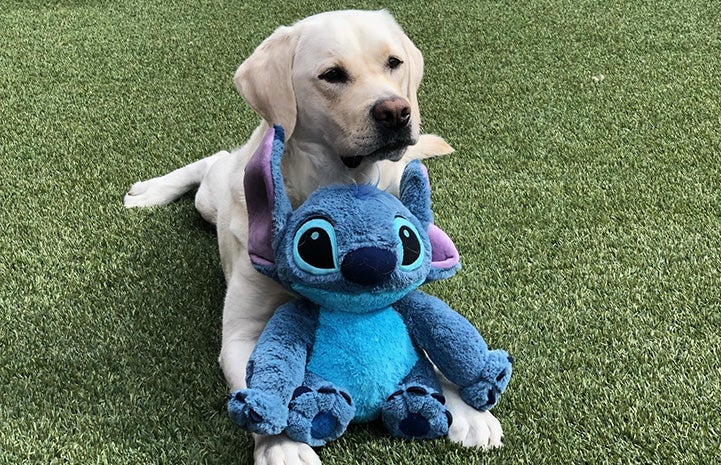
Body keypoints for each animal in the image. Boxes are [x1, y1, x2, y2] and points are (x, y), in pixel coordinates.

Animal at [124, 8, 504, 464]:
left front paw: (468, 408)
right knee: (213, 160)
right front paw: (282, 445)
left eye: (393, 63)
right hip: (209, 197)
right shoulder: (242, 332)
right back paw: (152, 190)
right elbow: (260, 380)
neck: (343, 184)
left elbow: (432, 341)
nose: (397, 112)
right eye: (332, 75)